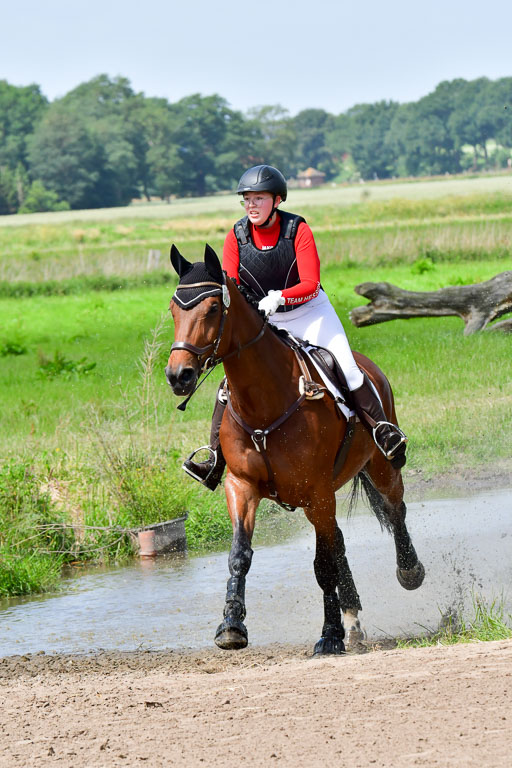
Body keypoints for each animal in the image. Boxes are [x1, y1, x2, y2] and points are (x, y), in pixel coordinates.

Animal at [165, 244, 425, 655]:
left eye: (213, 308)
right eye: (174, 310)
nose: (178, 376)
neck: (265, 401)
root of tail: (368, 366)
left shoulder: (317, 490)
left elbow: (323, 566)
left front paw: (329, 636)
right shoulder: (242, 486)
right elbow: (239, 556)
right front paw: (231, 626)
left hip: (377, 468)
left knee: (394, 508)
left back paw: (409, 571)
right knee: (340, 542)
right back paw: (353, 621)